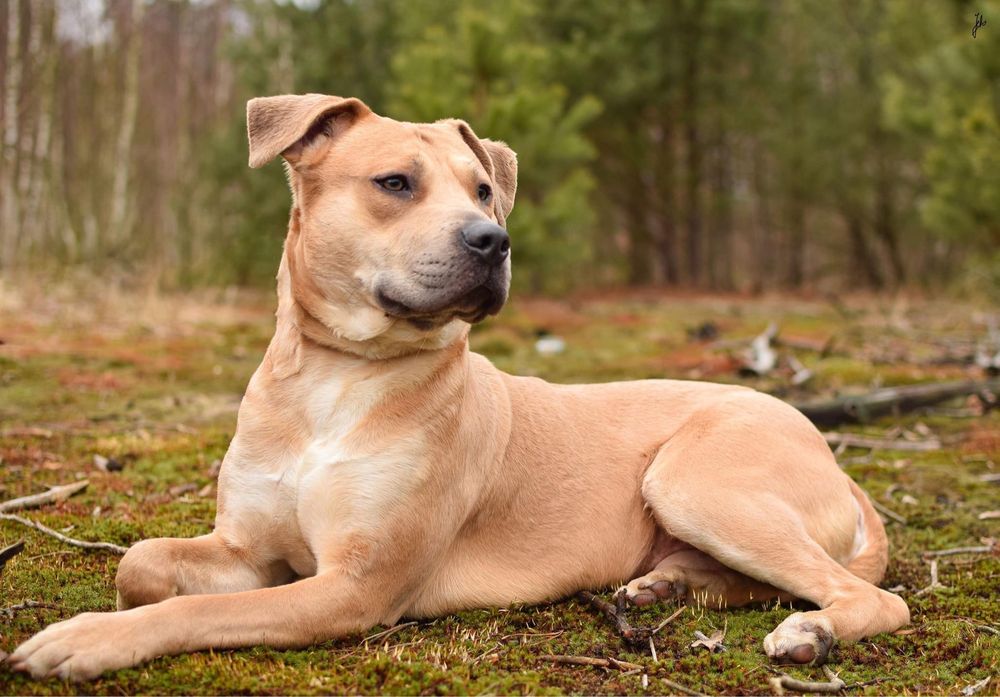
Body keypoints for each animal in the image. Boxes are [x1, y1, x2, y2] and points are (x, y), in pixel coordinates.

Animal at [7, 94, 912, 680]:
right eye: (394, 183)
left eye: (482, 189)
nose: (492, 239)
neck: (337, 378)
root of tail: (830, 453)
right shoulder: (250, 550)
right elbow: (143, 564)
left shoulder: (353, 586)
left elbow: (195, 611)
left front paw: (86, 639)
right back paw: (668, 583)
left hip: (697, 477)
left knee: (869, 596)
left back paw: (812, 633)